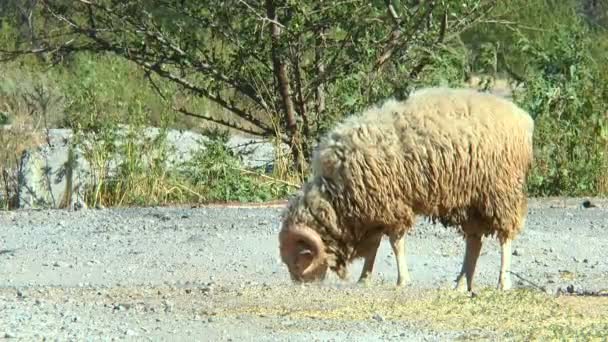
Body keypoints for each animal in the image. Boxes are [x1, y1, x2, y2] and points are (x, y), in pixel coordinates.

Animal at [278, 85, 536, 292]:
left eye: (298, 260)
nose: (300, 284)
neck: (335, 196)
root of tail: (522, 118)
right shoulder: (373, 210)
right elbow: (374, 247)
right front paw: (364, 278)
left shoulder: (391, 205)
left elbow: (395, 244)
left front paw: (402, 280)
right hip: (472, 201)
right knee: (474, 241)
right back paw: (462, 283)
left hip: (502, 192)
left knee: (505, 238)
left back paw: (503, 283)